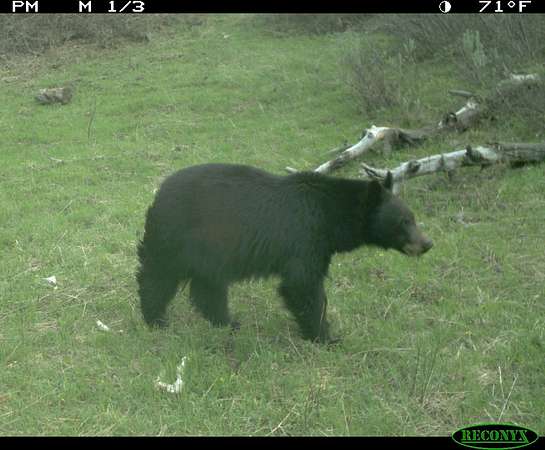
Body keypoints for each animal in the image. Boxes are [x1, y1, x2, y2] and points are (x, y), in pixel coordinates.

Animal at [136, 163, 433, 343]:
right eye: (404, 221)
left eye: (412, 217)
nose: (427, 243)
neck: (330, 214)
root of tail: (159, 193)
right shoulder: (305, 239)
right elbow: (303, 285)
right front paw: (325, 336)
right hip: (178, 235)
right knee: (158, 275)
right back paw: (155, 319)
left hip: (210, 249)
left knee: (208, 286)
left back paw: (227, 322)